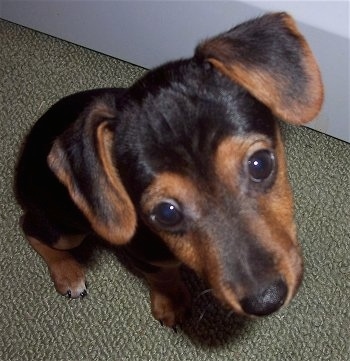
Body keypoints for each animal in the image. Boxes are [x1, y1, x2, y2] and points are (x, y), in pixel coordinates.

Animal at [15, 12, 324, 326]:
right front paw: (171, 302)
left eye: (260, 164)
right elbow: (163, 276)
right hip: (66, 228)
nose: (266, 300)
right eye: (166, 213)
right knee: (31, 229)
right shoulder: (147, 256)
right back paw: (67, 272)